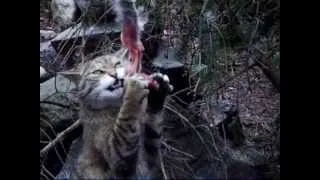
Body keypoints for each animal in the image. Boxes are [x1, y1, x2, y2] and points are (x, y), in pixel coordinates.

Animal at [57, 48, 172, 179]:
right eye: (98, 72)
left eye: (117, 64)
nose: (114, 74)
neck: (117, 107)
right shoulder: (117, 161)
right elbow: (126, 121)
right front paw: (133, 88)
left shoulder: (149, 159)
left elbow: (153, 133)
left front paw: (159, 90)